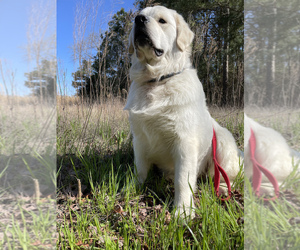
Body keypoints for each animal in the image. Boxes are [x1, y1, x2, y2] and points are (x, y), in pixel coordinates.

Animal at [125, 4, 241, 218]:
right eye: (138, 16)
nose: (139, 20)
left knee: (225, 177)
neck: (157, 80)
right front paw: (130, 189)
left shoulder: (184, 142)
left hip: (223, 142)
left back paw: (221, 189)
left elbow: (183, 180)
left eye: (162, 20)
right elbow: (140, 169)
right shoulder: (139, 138)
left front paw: (183, 212)